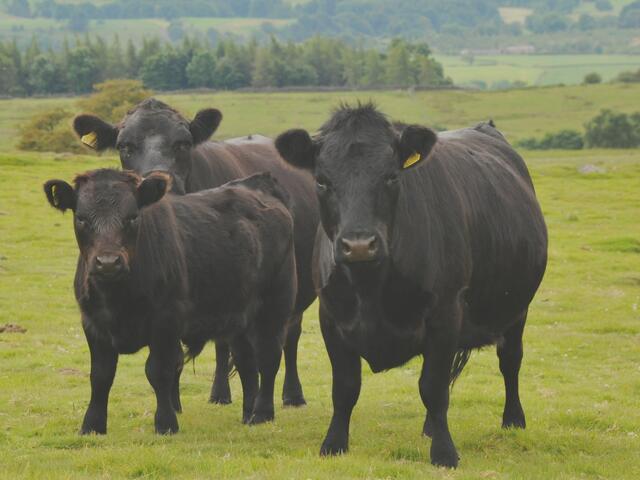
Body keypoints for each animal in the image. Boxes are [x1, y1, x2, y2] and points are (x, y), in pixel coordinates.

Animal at [44, 169, 297, 434]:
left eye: (132, 217)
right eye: (81, 218)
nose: (108, 262)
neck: (118, 298)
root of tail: (258, 185)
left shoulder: (165, 321)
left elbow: (159, 371)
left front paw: (166, 423)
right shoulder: (93, 324)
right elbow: (101, 375)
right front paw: (92, 425)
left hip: (275, 307)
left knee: (268, 358)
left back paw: (262, 413)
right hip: (239, 318)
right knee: (247, 363)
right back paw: (248, 414)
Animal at [71, 98, 318, 407]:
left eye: (183, 143)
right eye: (124, 146)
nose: (160, 182)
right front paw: (174, 403)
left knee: (287, 336)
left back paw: (289, 394)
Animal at [274, 103, 548, 468]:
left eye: (391, 176)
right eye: (321, 181)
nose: (358, 245)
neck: (371, 288)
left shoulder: (445, 314)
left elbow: (433, 387)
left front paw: (445, 453)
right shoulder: (331, 317)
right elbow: (344, 387)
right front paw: (333, 444)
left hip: (517, 310)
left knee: (510, 360)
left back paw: (513, 420)